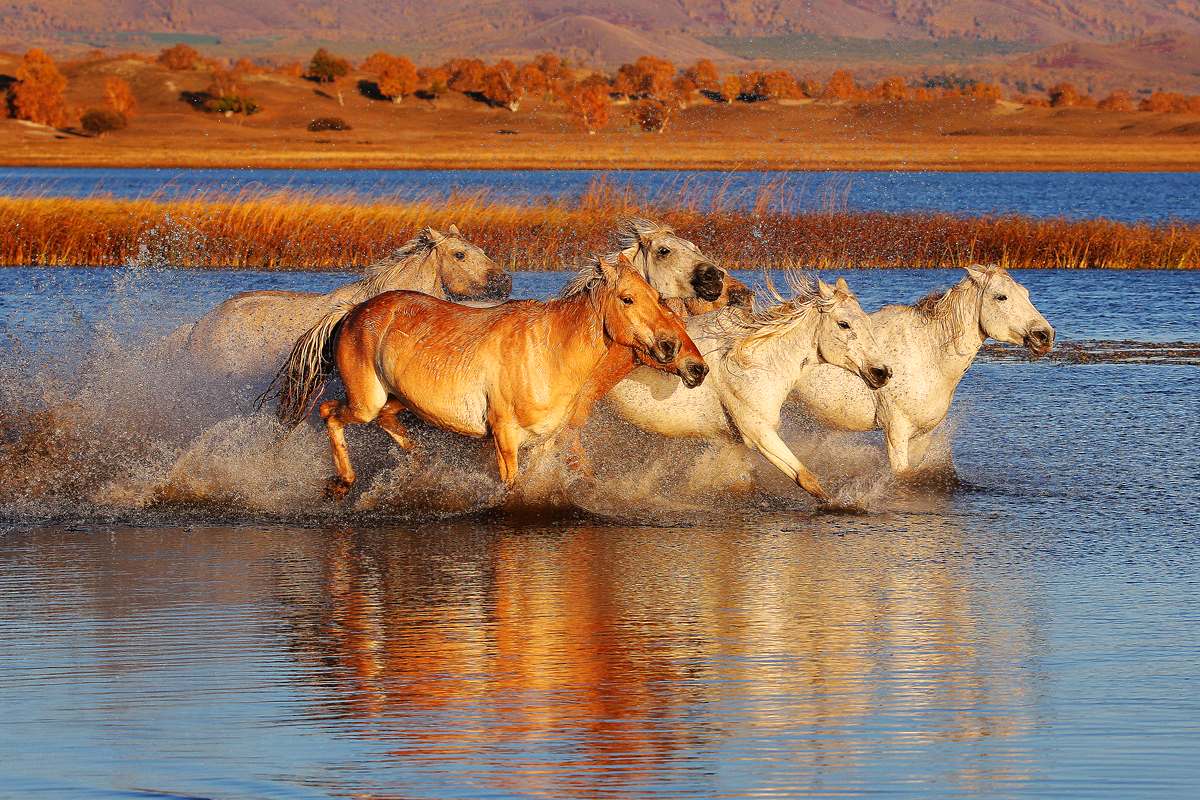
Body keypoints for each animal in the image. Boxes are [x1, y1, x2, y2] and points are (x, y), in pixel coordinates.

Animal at [271, 255, 709, 499]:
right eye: (628, 299)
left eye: (658, 299)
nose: (683, 357)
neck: (547, 353)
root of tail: (351, 312)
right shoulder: (505, 437)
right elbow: (510, 488)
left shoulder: (545, 442)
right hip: (364, 401)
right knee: (330, 411)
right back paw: (341, 484)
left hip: (396, 400)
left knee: (387, 423)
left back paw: (416, 470)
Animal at [603, 274, 892, 501]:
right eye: (844, 324)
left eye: (868, 322)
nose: (882, 372)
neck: (751, 359)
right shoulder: (757, 431)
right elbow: (805, 477)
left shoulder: (731, 441)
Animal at [790, 265, 1054, 473]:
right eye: (1001, 297)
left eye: (1026, 293)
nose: (1045, 335)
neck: (927, 352)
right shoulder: (896, 432)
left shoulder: (923, 434)